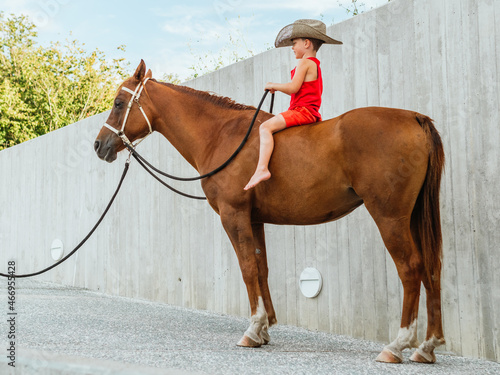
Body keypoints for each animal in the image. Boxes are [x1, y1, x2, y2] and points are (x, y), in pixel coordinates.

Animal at [94, 61, 446, 364]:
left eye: (118, 103)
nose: (99, 145)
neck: (221, 135)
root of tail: (415, 117)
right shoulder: (255, 219)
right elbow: (261, 268)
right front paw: (264, 329)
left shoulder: (233, 215)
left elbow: (248, 268)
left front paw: (253, 329)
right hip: (413, 218)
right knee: (431, 269)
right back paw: (427, 346)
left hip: (390, 217)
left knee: (411, 269)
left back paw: (398, 344)